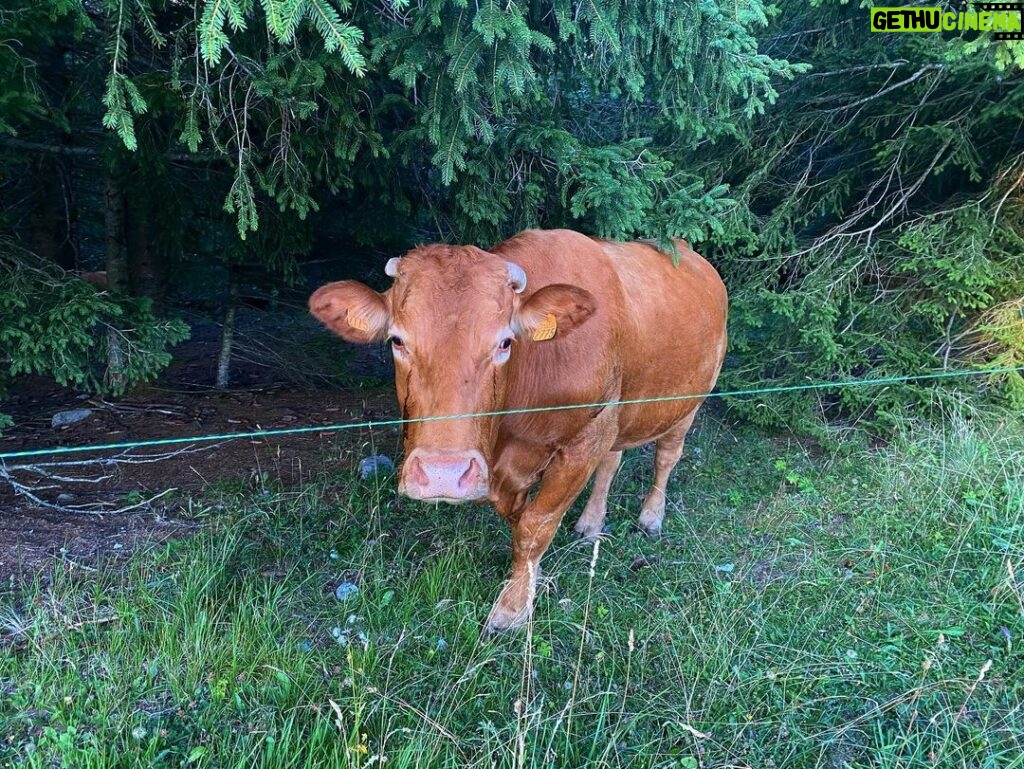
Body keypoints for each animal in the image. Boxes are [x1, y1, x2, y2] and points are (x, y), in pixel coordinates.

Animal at [307, 228, 724, 630]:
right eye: (397, 340)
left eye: (505, 342)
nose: (444, 474)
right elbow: (522, 524)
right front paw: (530, 582)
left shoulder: (587, 437)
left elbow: (535, 527)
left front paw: (512, 610)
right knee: (612, 463)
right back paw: (591, 522)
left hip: (690, 400)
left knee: (666, 457)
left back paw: (651, 517)